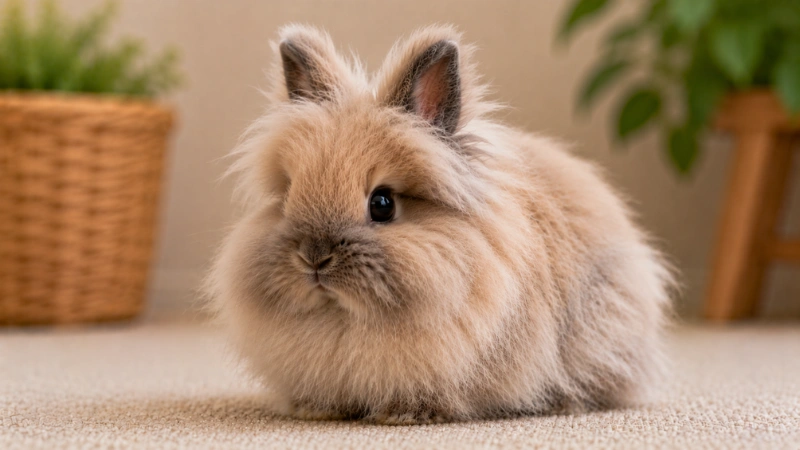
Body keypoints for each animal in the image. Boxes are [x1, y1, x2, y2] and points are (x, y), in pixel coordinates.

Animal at [206, 24, 673, 425]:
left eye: (382, 204)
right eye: (287, 197)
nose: (314, 258)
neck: (344, 321)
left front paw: (403, 414)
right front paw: (317, 410)